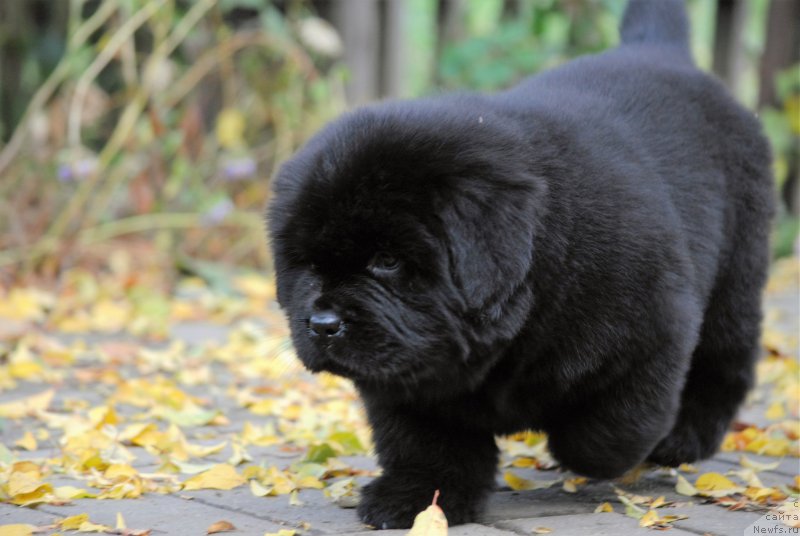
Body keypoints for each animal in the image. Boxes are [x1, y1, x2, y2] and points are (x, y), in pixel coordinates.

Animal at [268, 0, 776, 528]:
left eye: (386, 261)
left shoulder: (656, 330)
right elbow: (425, 442)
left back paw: (682, 440)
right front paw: (416, 499)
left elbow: (614, 428)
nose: (322, 324)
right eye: (307, 265)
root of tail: (659, 51)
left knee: (725, 360)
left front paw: (581, 445)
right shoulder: (410, 380)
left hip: (735, 274)